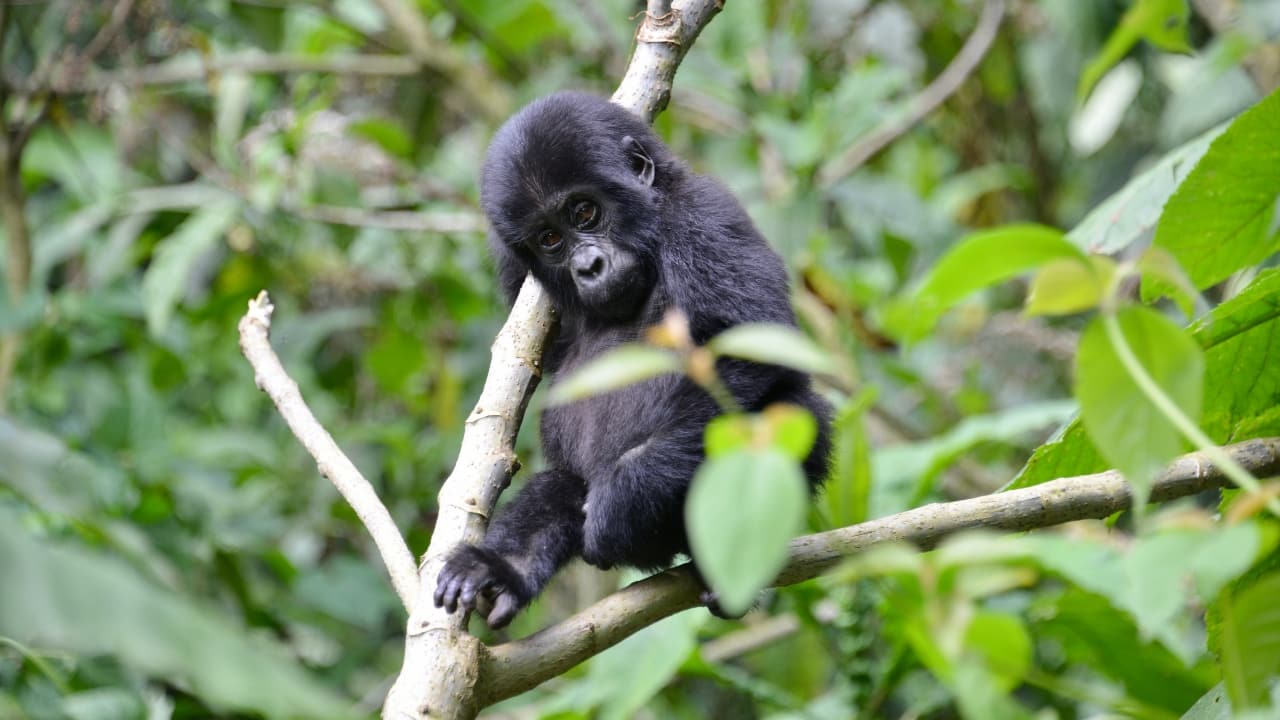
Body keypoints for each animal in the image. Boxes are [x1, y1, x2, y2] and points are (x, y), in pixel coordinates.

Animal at [434, 92, 832, 629]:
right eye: (549, 239)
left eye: (584, 211)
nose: (588, 266)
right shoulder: (517, 273)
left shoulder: (703, 213)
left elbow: (746, 350)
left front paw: (625, 500)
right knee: (562, 486)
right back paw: (503, 569)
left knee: (793, 414)